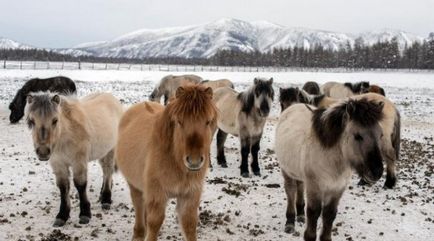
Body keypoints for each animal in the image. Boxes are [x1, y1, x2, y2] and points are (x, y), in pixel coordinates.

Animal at [24, 91, 123, 227]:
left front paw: (85, 214)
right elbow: (63, 187)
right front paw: (62, 216)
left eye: (55, 120)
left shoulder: (78, 162)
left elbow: (80, 185)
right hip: (102, 151)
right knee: (105, 170)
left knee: (108, 170)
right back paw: (102, 194)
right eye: (32, 121)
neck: (66, 136)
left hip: (111, 150)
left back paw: (106, 199)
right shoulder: (58, 164)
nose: (43, 151)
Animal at [115, 84, 217, 241]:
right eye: (179, 121)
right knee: (138, 205)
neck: (175, 162)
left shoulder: (190, 195)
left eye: (208, 121)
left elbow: (189, 224)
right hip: (134, 184)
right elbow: (155, 222)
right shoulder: (157, 194)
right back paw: (139, 233)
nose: (194, 161)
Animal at [274, 98, 384, 241]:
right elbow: (314, 213)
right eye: (357, 136)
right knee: (291, 191)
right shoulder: (314, 187)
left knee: (300, 186)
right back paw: (290, 221)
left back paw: (300, 214)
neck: (331, 160)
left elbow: (329, 214)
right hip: (287, 171)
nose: (377, 172)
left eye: (381, 135)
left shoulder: (337, 189)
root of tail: (294, 106)